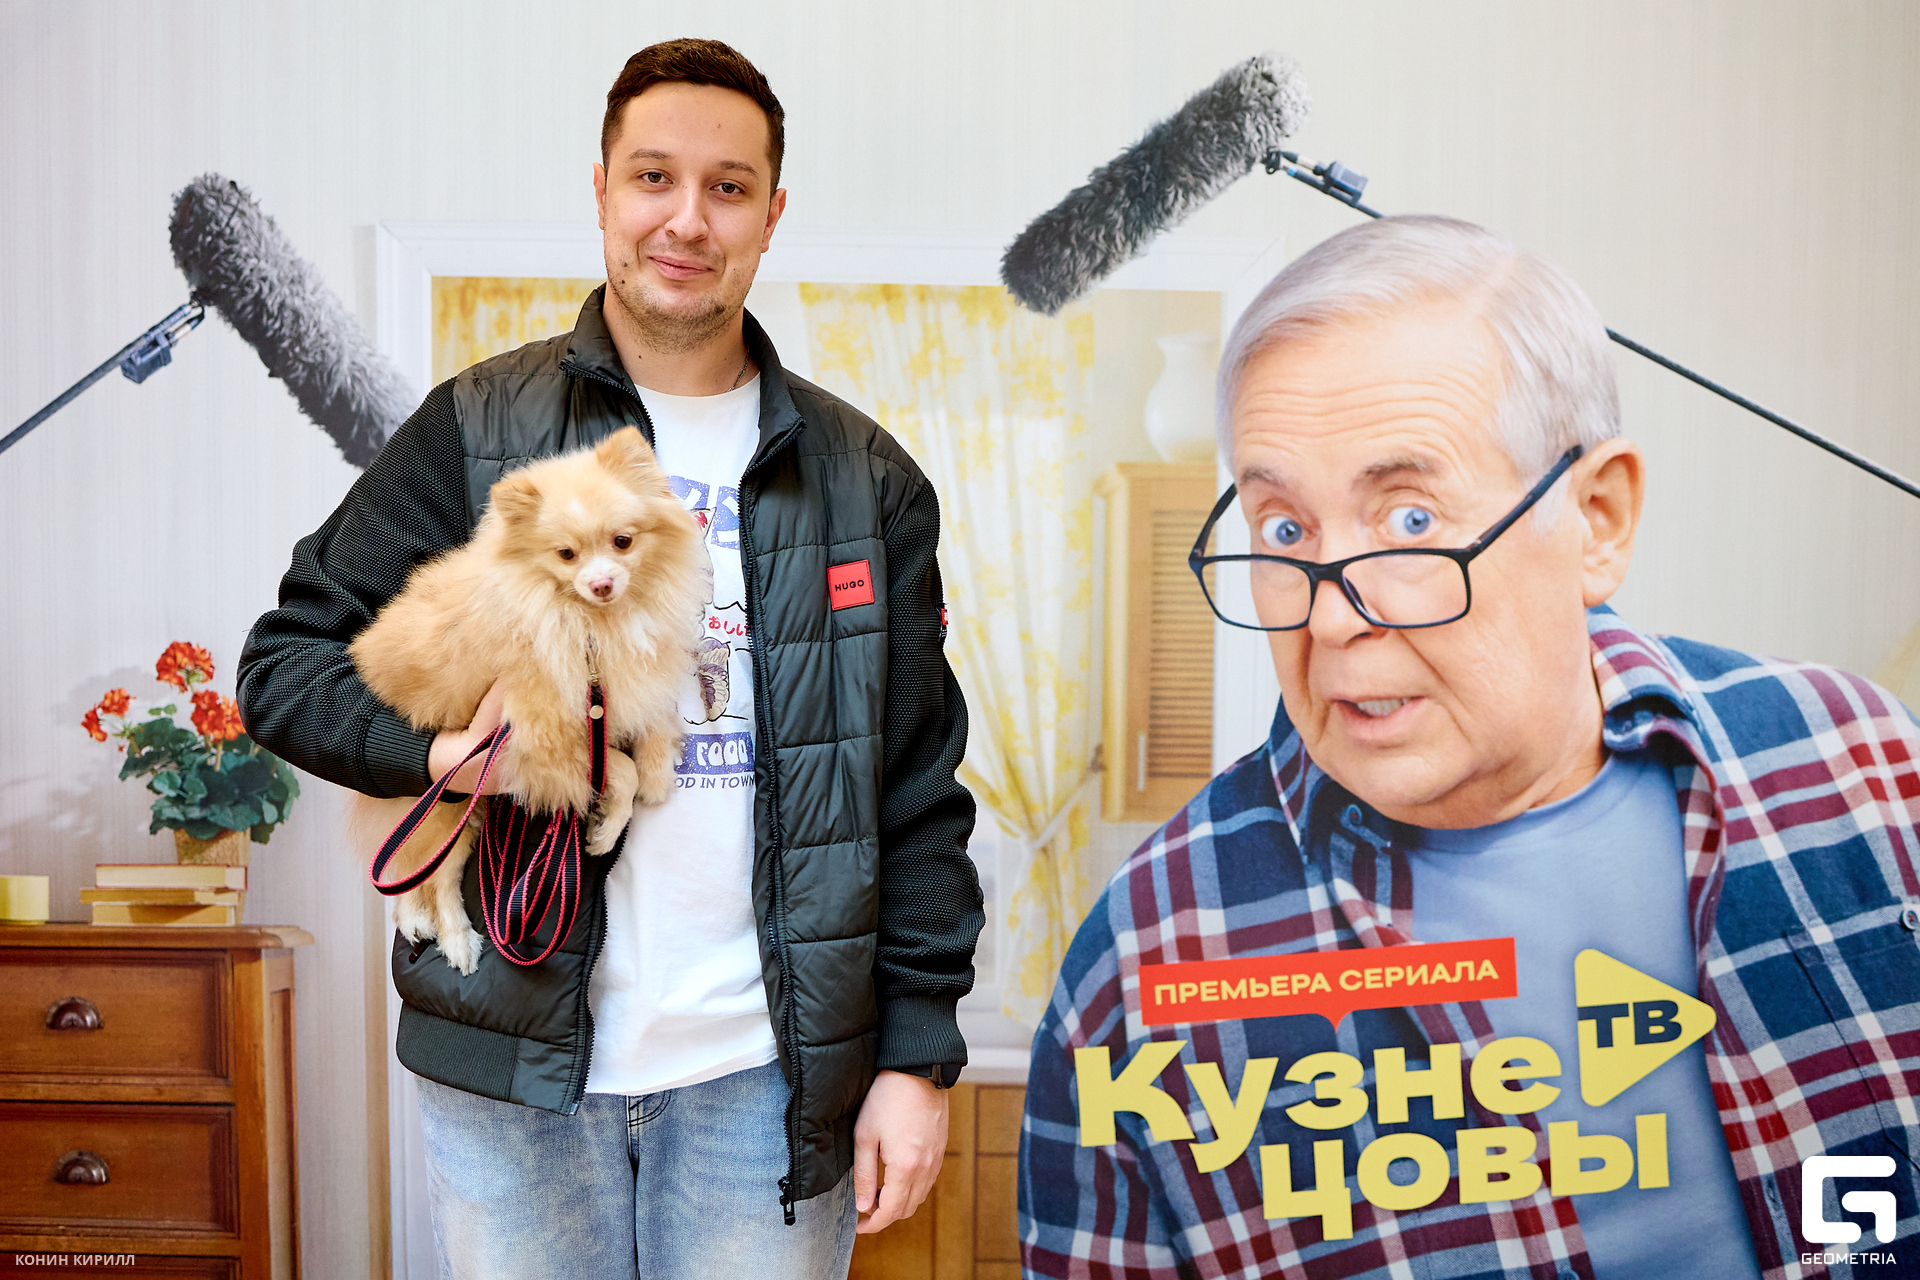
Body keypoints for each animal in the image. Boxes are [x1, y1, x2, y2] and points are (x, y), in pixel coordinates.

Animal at [347, 427, 707, 974]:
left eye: (622, 542)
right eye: (566, 555)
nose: (602, 583)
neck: (595, 623)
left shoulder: (628, 681)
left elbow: (652, 728)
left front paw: (657, 772)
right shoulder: (551, 738)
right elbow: (618, 771)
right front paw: (605, 829)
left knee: (412, 871)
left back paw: (416, 918)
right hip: (451, 802)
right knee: (435, 875)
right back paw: (456, 939)